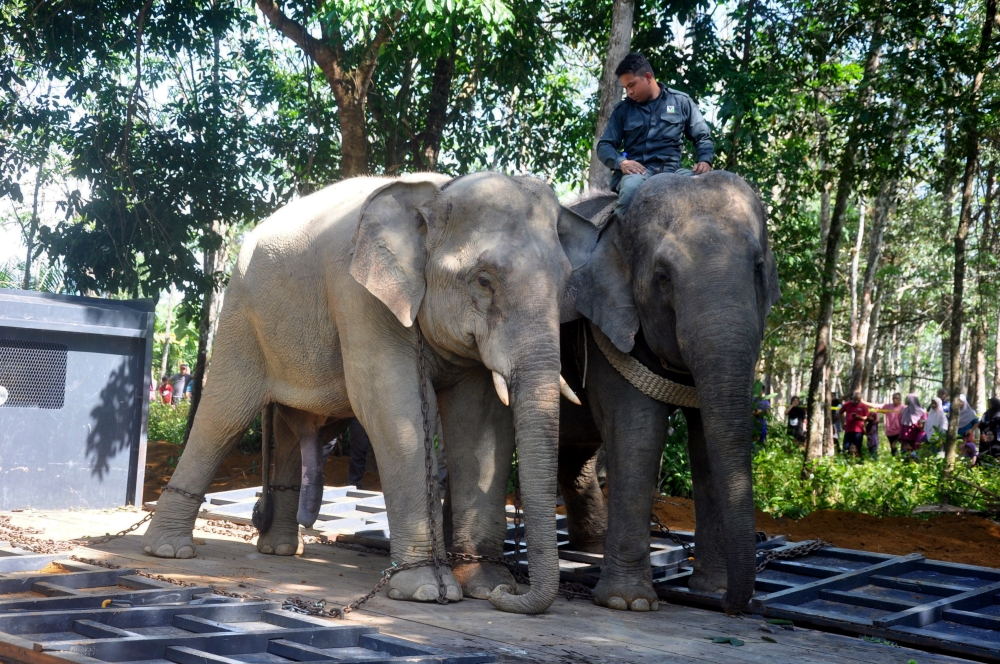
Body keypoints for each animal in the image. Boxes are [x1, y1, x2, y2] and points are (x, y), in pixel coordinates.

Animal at [141, 171, 597, 615]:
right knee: (225, 414)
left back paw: (282, 550)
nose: (510, 594)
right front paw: (426, 590)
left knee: (288, 429)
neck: (437, 193)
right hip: (242, 311)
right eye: (484, 281)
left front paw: (486, 588)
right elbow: (389, 404)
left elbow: (481, 421)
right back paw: (169, 551)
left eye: (565, 285)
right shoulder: (359, 297)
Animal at [551, 171, 780, 614]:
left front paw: (712, 589)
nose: (736, 607)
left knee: (576, 455)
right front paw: (628, 603)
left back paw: (588, 549)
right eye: (662, 277)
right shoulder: (606, 329)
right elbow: (639, 432)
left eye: (759, 268)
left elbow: (706, 443)